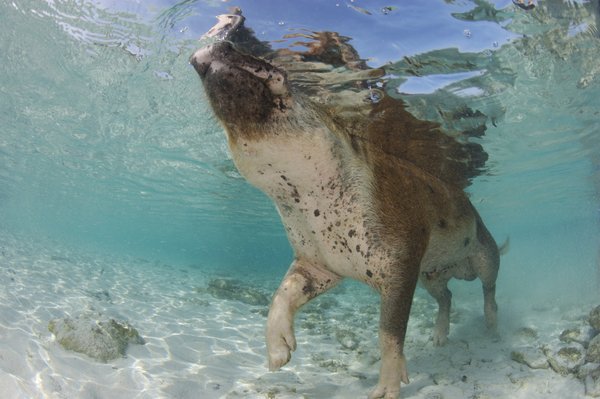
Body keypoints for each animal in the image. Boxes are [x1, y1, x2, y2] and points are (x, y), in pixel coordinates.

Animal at [191, 10, 502, 399]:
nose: (213, 46)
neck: (307, 198)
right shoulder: (318, 263)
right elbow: (282, 294)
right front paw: (278, 355)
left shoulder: (402, 261)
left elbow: (389, 332)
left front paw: (386, 389)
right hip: (431, 276)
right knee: (445, 296)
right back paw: (440, 338)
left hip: (484, 252)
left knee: (488, 288)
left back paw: (491, 327)